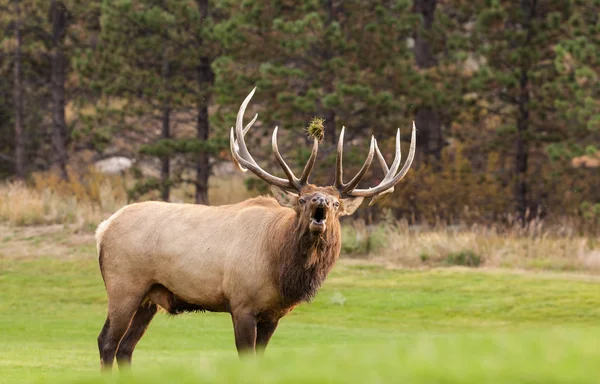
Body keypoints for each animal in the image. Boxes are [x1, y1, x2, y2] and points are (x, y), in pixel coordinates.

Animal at [97, 87, 418, 368]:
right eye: (302, 199)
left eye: (337, 203)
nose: (320, 202)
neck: (280, 268)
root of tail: (103, 229)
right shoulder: (242, 304)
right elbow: (246, 357)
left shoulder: (273, 314)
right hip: (124, 286)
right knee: (107, 342)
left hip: (150, 297)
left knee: (126, 348)